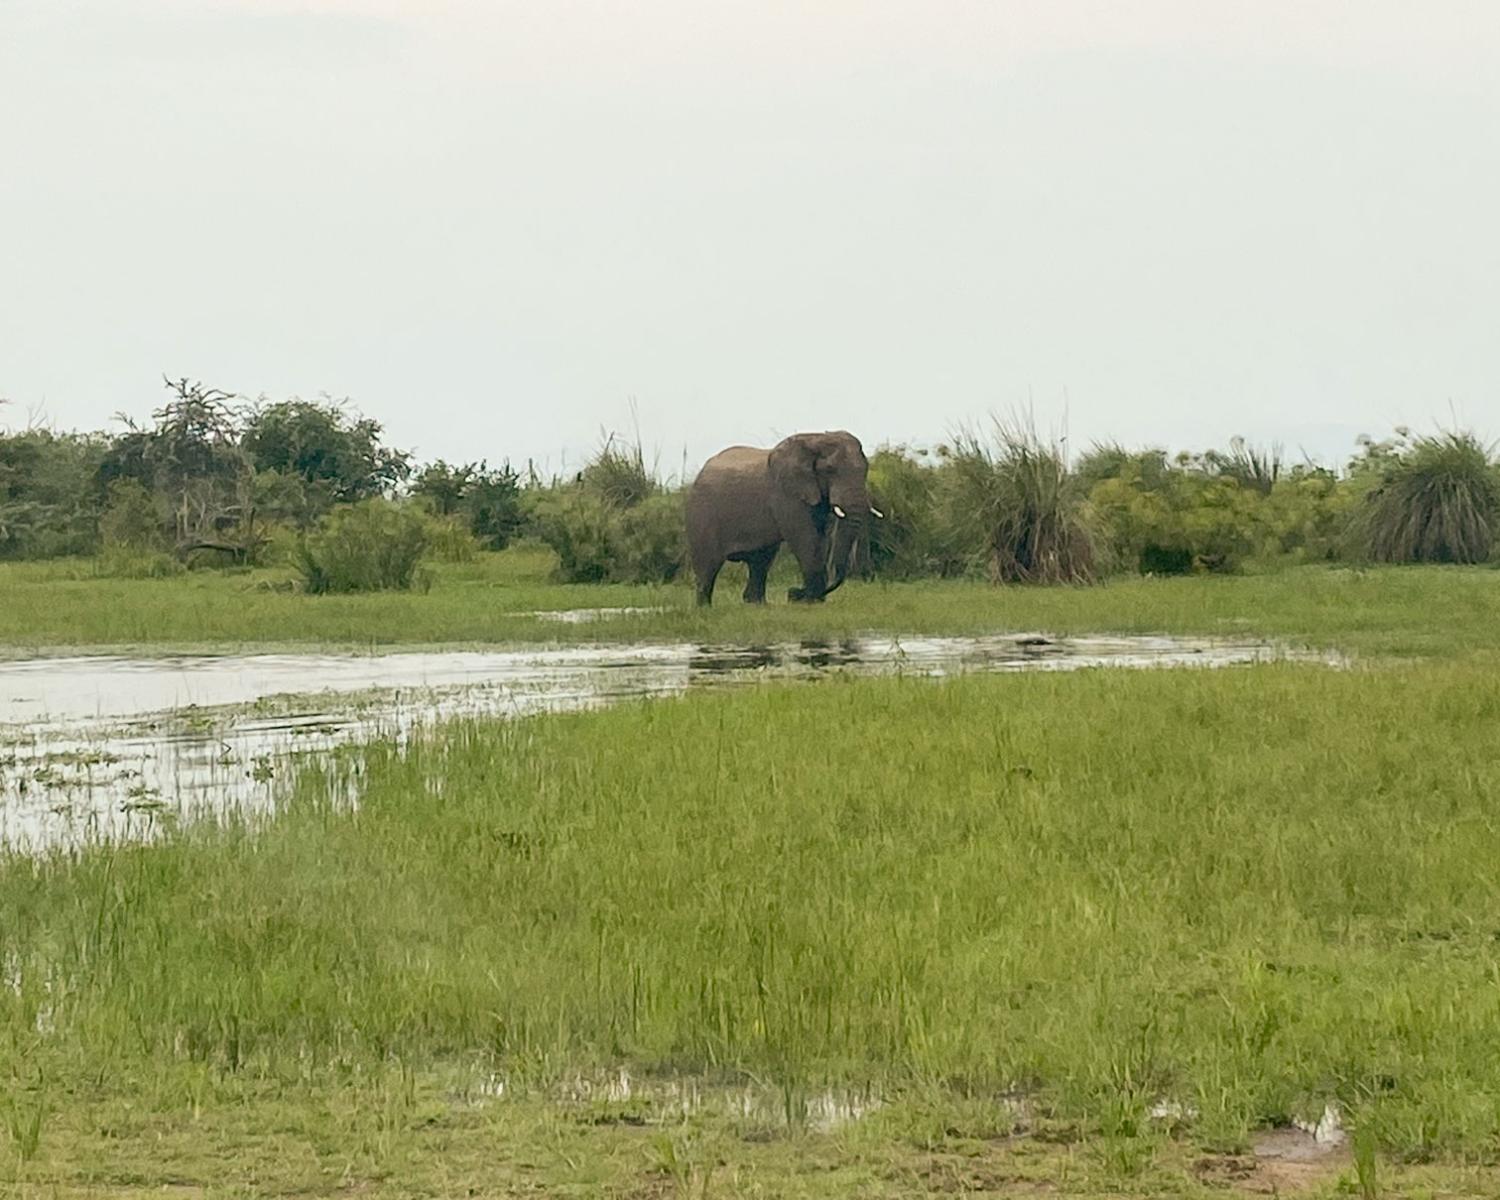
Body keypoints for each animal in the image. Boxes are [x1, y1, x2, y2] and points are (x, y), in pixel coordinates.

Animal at [684, 429, 876, 606]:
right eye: (829, 470)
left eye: (866, 469)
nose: (792, 593)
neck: (816, 437)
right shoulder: (786, 493)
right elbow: (804, 537)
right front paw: (811, 600)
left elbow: (820, 538)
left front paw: (814, 599)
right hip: (701, 514)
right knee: (707, 566)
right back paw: (704, 607)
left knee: (761, 561)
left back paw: (756, 603)